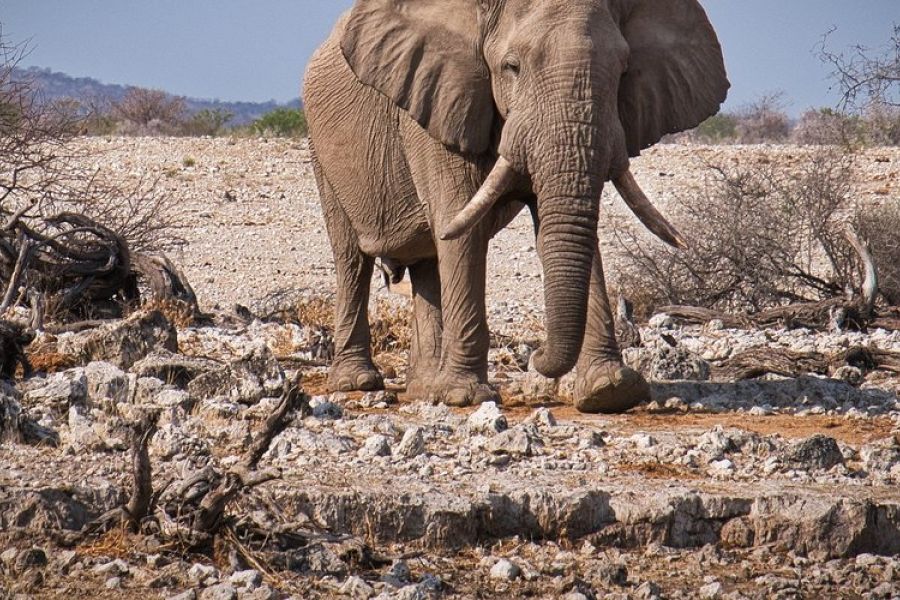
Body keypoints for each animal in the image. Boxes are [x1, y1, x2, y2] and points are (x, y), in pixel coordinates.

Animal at [303, 0, 729, 412]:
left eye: (623, 70)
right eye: (512, 67)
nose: (536, 356)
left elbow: (564, 227)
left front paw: (609, 391)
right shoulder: (437, 104)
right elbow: (462, 226)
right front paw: (465, 397)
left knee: (427, 264)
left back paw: (424, 389)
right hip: (321, 152)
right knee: (352, 259)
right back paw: (358, 382)